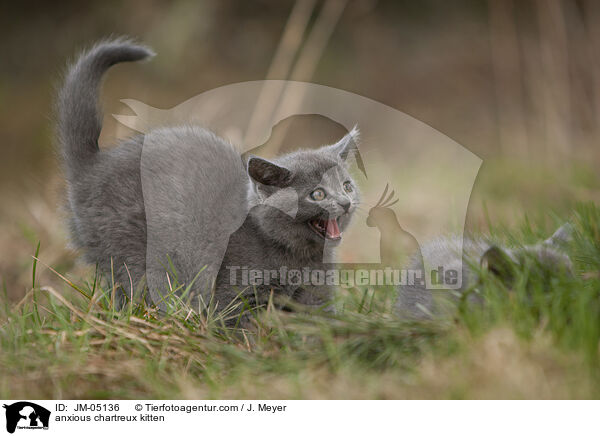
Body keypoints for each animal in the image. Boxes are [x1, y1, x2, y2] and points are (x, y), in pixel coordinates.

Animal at [56, 38, 358, 320]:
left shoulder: (315, 294)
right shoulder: (234, 289)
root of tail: (93, 165)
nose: (346, 202)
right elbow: (235, 323)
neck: (298, 257)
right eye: (317, 194)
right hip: (132, 249)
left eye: (347, 186)